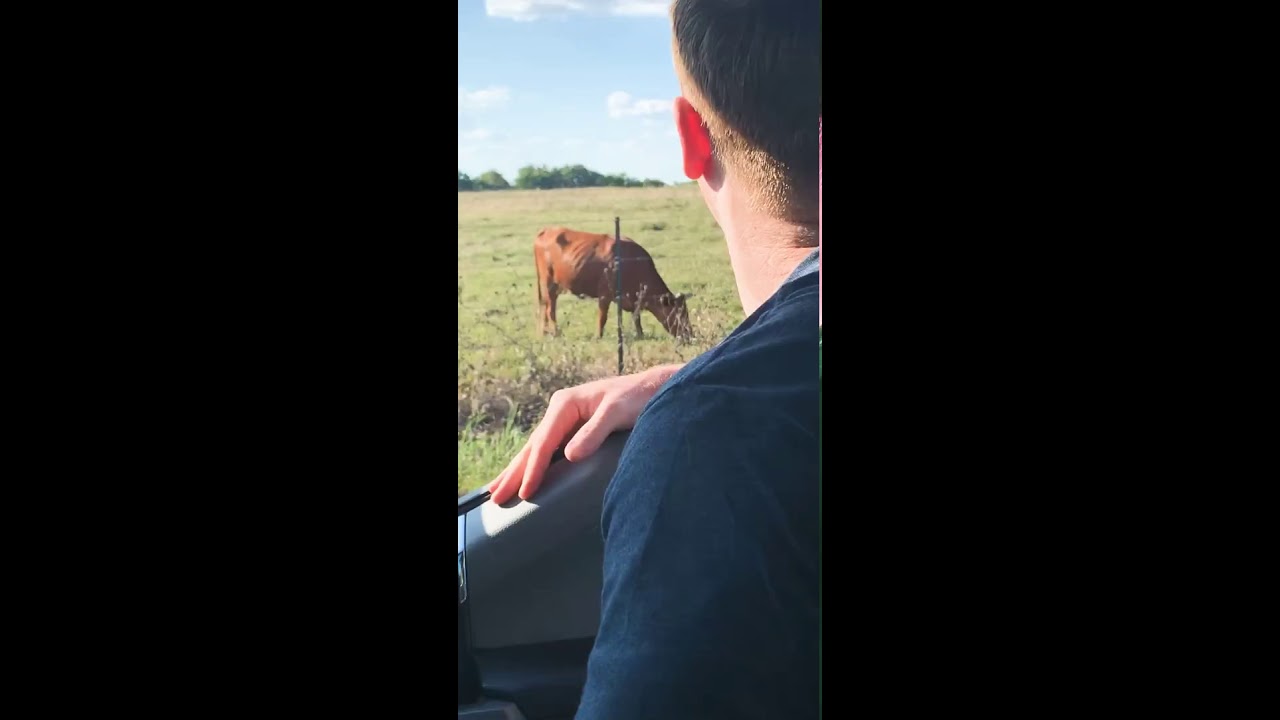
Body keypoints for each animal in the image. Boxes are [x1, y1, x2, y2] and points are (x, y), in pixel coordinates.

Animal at [534, 226, 693, 341]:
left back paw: (544, 333)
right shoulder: (605, 294)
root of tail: (548, 229)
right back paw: (556, 333)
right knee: (550, 309)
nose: (690, 335)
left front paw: (639, 334)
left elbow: (635, 317)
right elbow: (603, 317)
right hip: (548, 282)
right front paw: (598, 336)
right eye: (679, 313)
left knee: (545, 306)